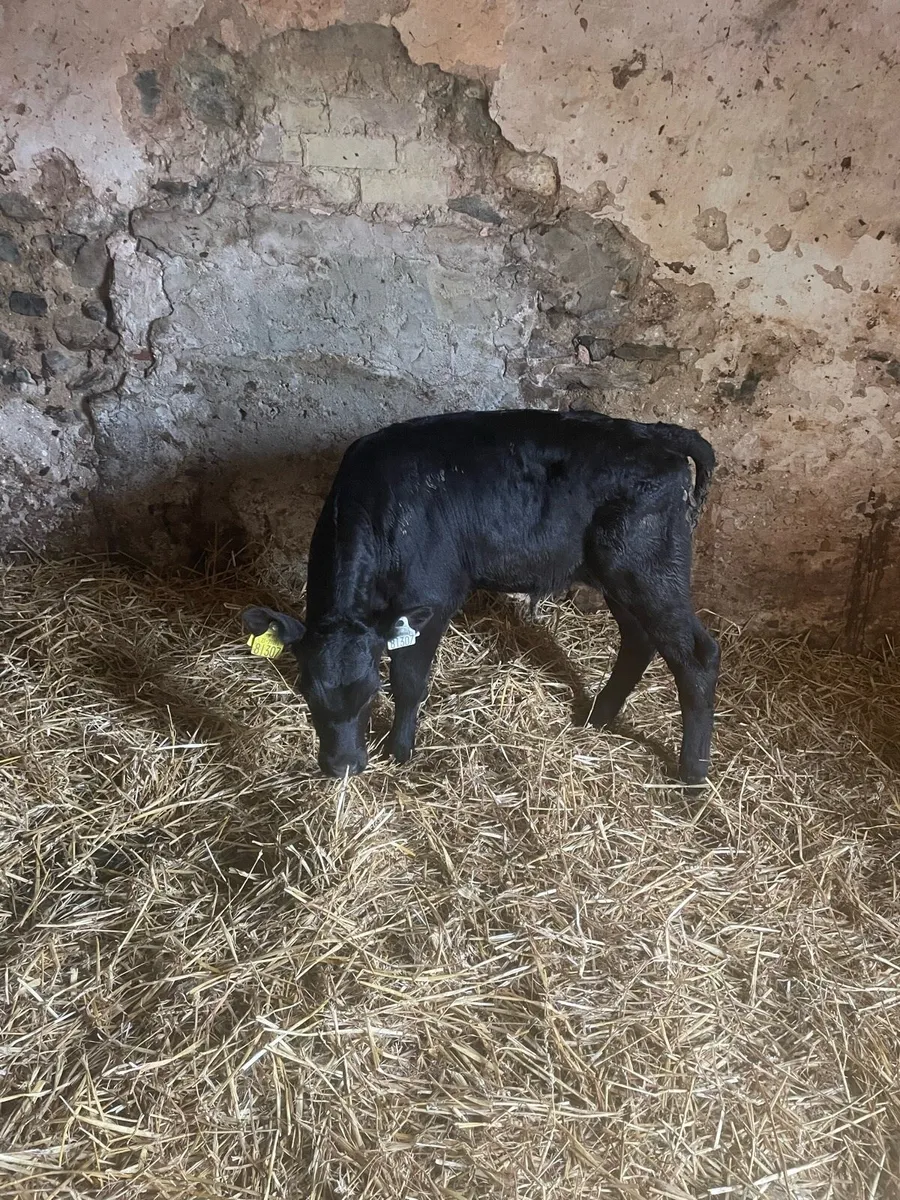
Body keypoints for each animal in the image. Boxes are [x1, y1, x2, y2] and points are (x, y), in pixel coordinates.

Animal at [242, 408, 720, 785]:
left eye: (370, 691)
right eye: (306, 690)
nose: (342, 766)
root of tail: (655, 432)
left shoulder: (431, 600)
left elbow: (409, 680)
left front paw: (399, 750)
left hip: (648, 569)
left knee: (697, 655)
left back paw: (692, 773)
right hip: (620, 577)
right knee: (639, 641)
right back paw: (597, 717)